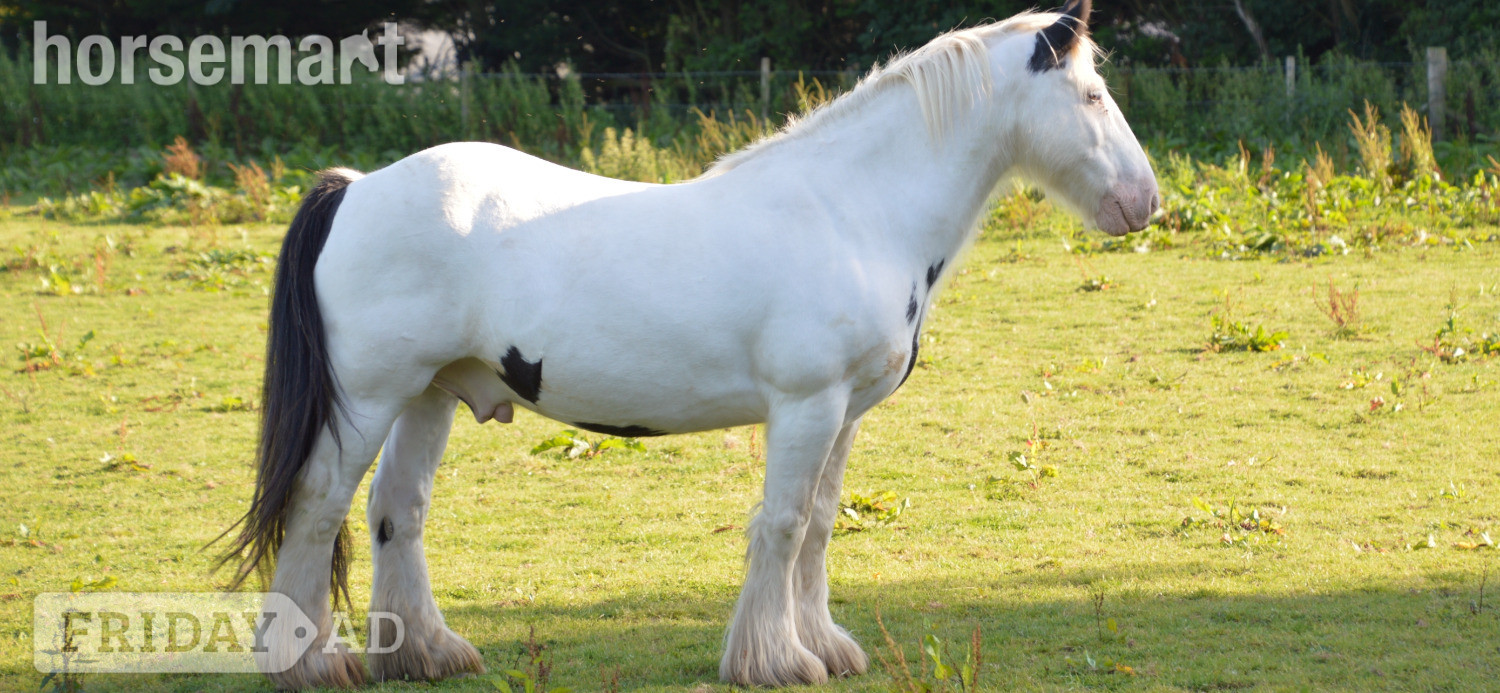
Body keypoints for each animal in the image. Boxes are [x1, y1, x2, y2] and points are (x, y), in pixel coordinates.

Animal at [219, 0, 1157, 687]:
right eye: (1092, 97)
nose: (1144, 201)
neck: (852, 210)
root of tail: (357, 186)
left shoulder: (846, 413)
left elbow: (820, 524)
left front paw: (825, 644)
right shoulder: (807, 407)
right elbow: (783, 524)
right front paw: (776, 660)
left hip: (430, 394)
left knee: (396, 512)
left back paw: (426, 652)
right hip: (369, 397)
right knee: (318, 508)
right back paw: (307, 662)